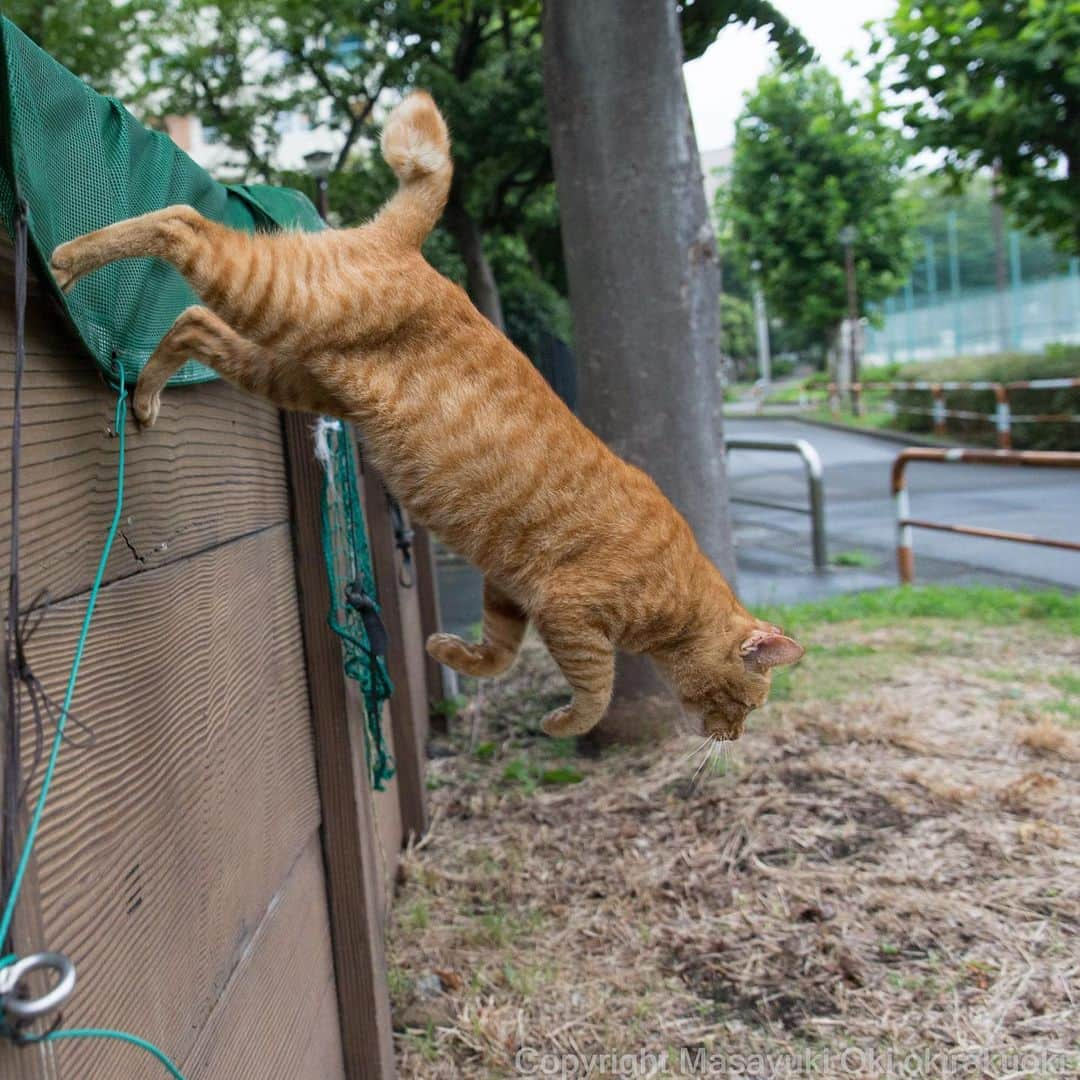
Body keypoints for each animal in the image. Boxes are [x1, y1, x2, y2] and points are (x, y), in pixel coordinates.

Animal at [50, 90, 803, 743]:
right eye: (746, 700)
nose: (732, 737)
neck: (676, 589)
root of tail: (405, 245)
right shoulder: (571, 615)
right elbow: (596, 689)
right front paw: (564, 723)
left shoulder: (509, 592)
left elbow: (498, 652)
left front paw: (451, 653)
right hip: (279, 298)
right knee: (180, 223)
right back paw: (65, 263)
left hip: (293, 372)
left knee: (192, 321)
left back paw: (145, 394)